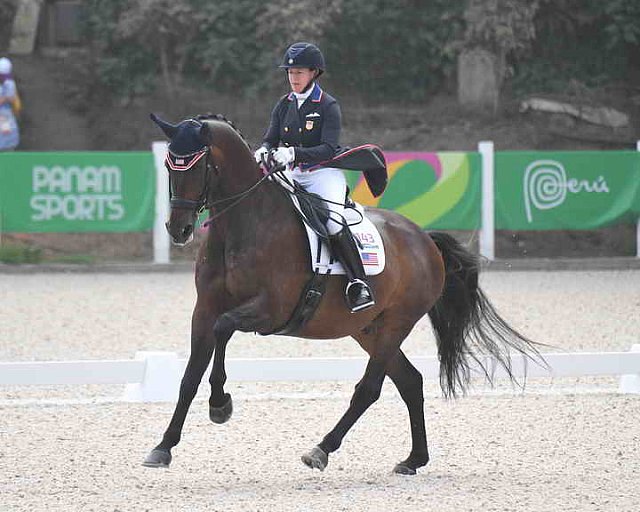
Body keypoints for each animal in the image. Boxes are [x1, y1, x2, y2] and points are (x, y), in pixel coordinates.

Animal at [142, 114, 544, 474]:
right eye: (169, 166)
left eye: (197, 167)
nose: (178, 229)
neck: (242, 226)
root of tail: (425, 239)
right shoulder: (204, 309)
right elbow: (189, 376)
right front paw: (163, 447)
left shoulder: (270, 310)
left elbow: (224, 329)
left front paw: (220, 404)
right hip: (367, 329)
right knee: (409, 381)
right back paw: (413, 460)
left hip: (396, 323)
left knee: (370, 388)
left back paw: (321, 450)